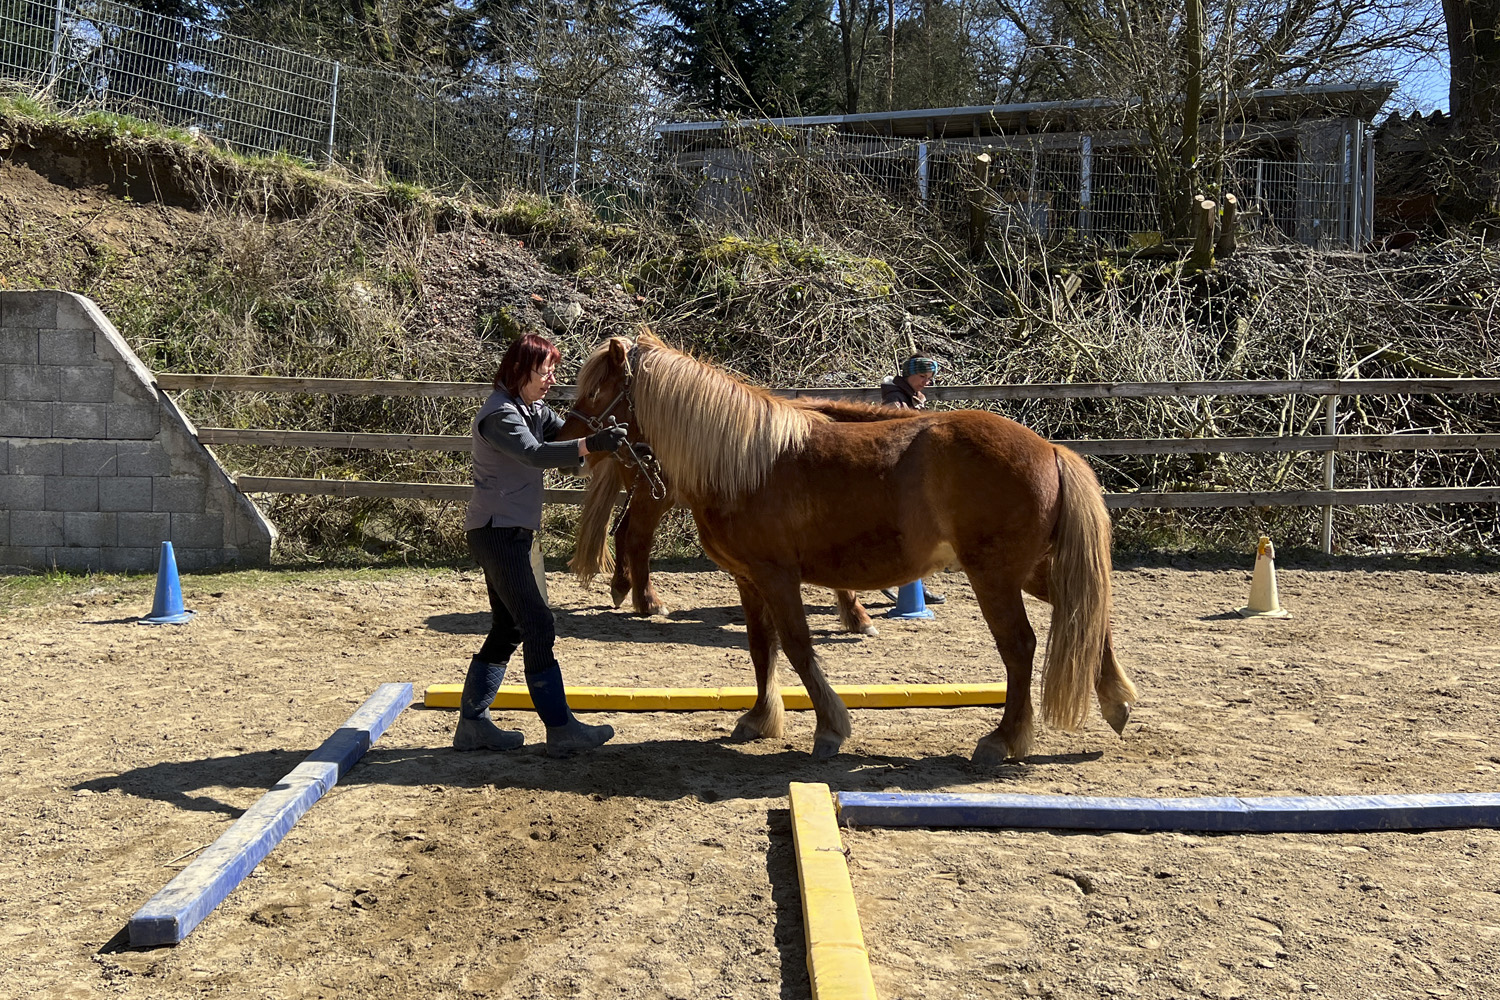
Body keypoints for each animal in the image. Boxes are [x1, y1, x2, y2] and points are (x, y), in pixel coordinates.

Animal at [568, 332, 1137, 763]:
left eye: (595, 390)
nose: (573, 442)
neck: (743, 460)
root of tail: (1052, 449)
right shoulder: (748, 579)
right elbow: (761, 646)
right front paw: (759, 718)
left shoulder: (777, 576)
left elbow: (798, 646)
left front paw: (830, 727)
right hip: (1029, 569)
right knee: (1086, 612)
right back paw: (1115, 703)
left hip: (995, 575)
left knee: (1020, 646)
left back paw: (1004, 739)